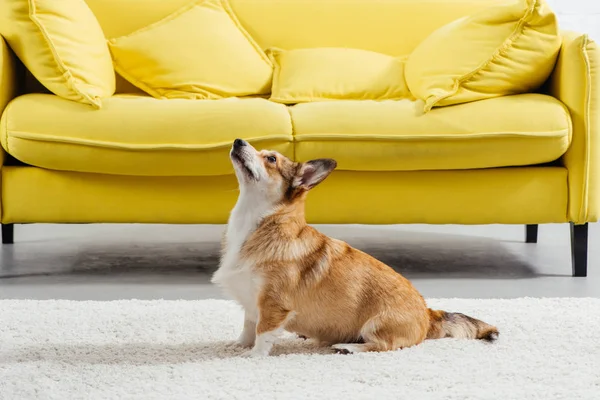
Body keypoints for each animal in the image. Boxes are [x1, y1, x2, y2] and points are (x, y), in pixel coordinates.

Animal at [211, 139, 496, 358]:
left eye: (270, 159)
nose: (238, 141)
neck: (254, 222)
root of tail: (429, 314)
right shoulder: (252, 303)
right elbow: (249, 327)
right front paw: (237, 346)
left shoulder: (273, 305)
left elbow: (263, 333)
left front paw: (253, 356)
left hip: (376, 325)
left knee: (382, 346)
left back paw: (348, 347)